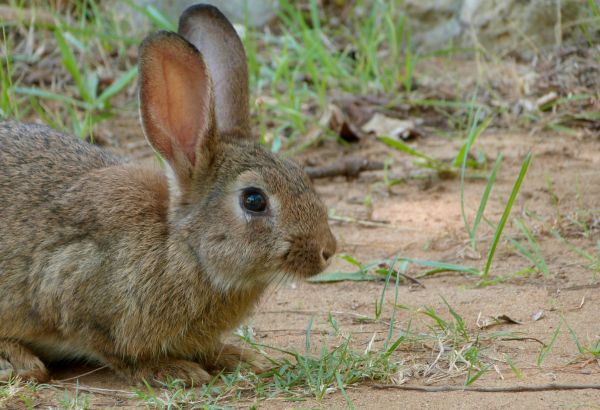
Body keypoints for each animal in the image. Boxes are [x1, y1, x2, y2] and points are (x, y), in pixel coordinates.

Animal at [0, 3, 338, 386]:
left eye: (300, 172)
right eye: (254, 200)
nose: (328, 250)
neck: (184, 247)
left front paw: (241, 357)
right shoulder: (70, 287)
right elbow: (115, 352)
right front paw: (173, 370)